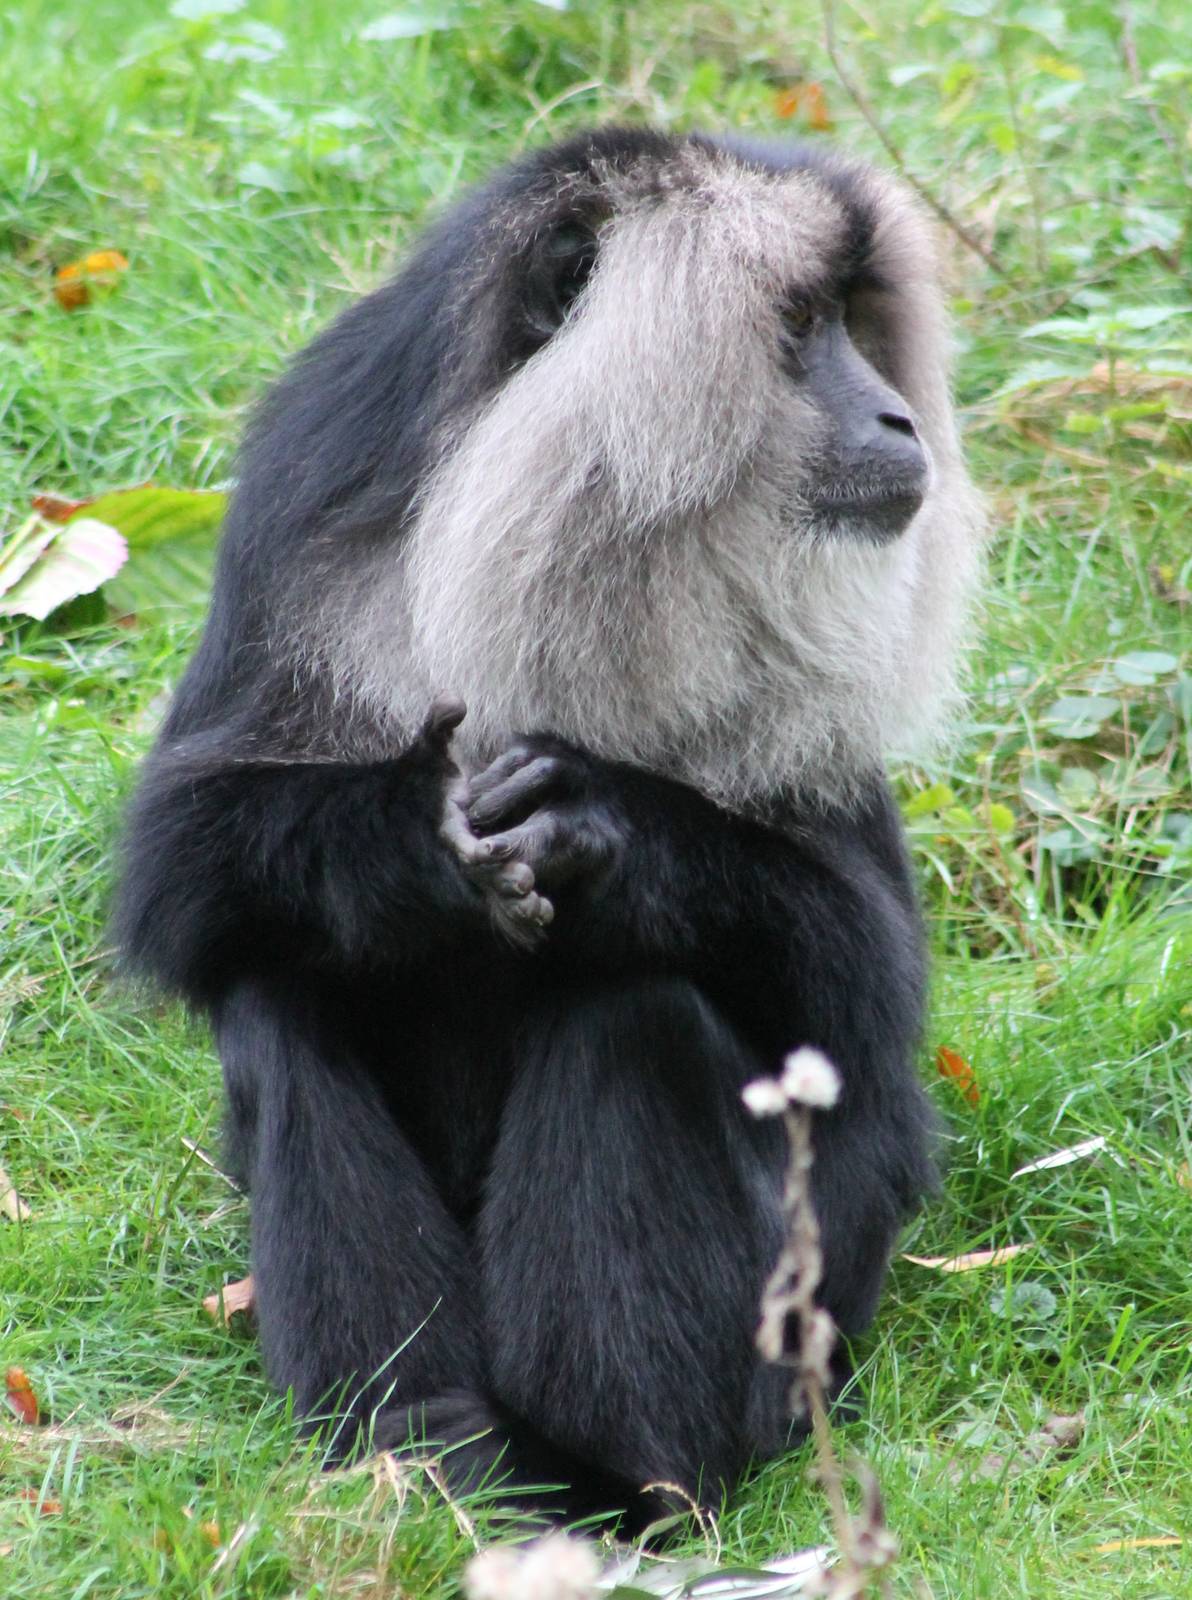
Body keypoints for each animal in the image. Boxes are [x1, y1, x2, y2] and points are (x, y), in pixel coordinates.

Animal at [116, 126, 983, 1527]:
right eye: (801, 327)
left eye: (855, 322)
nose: (896, 418)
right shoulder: (317, 494)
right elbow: (179, 862)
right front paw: (402, 840)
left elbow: (863, 991)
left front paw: (605, 824)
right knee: (282, 988)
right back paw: (424, 1438)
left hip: (809, 1321)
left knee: (632, 1002)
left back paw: (636, 1475)